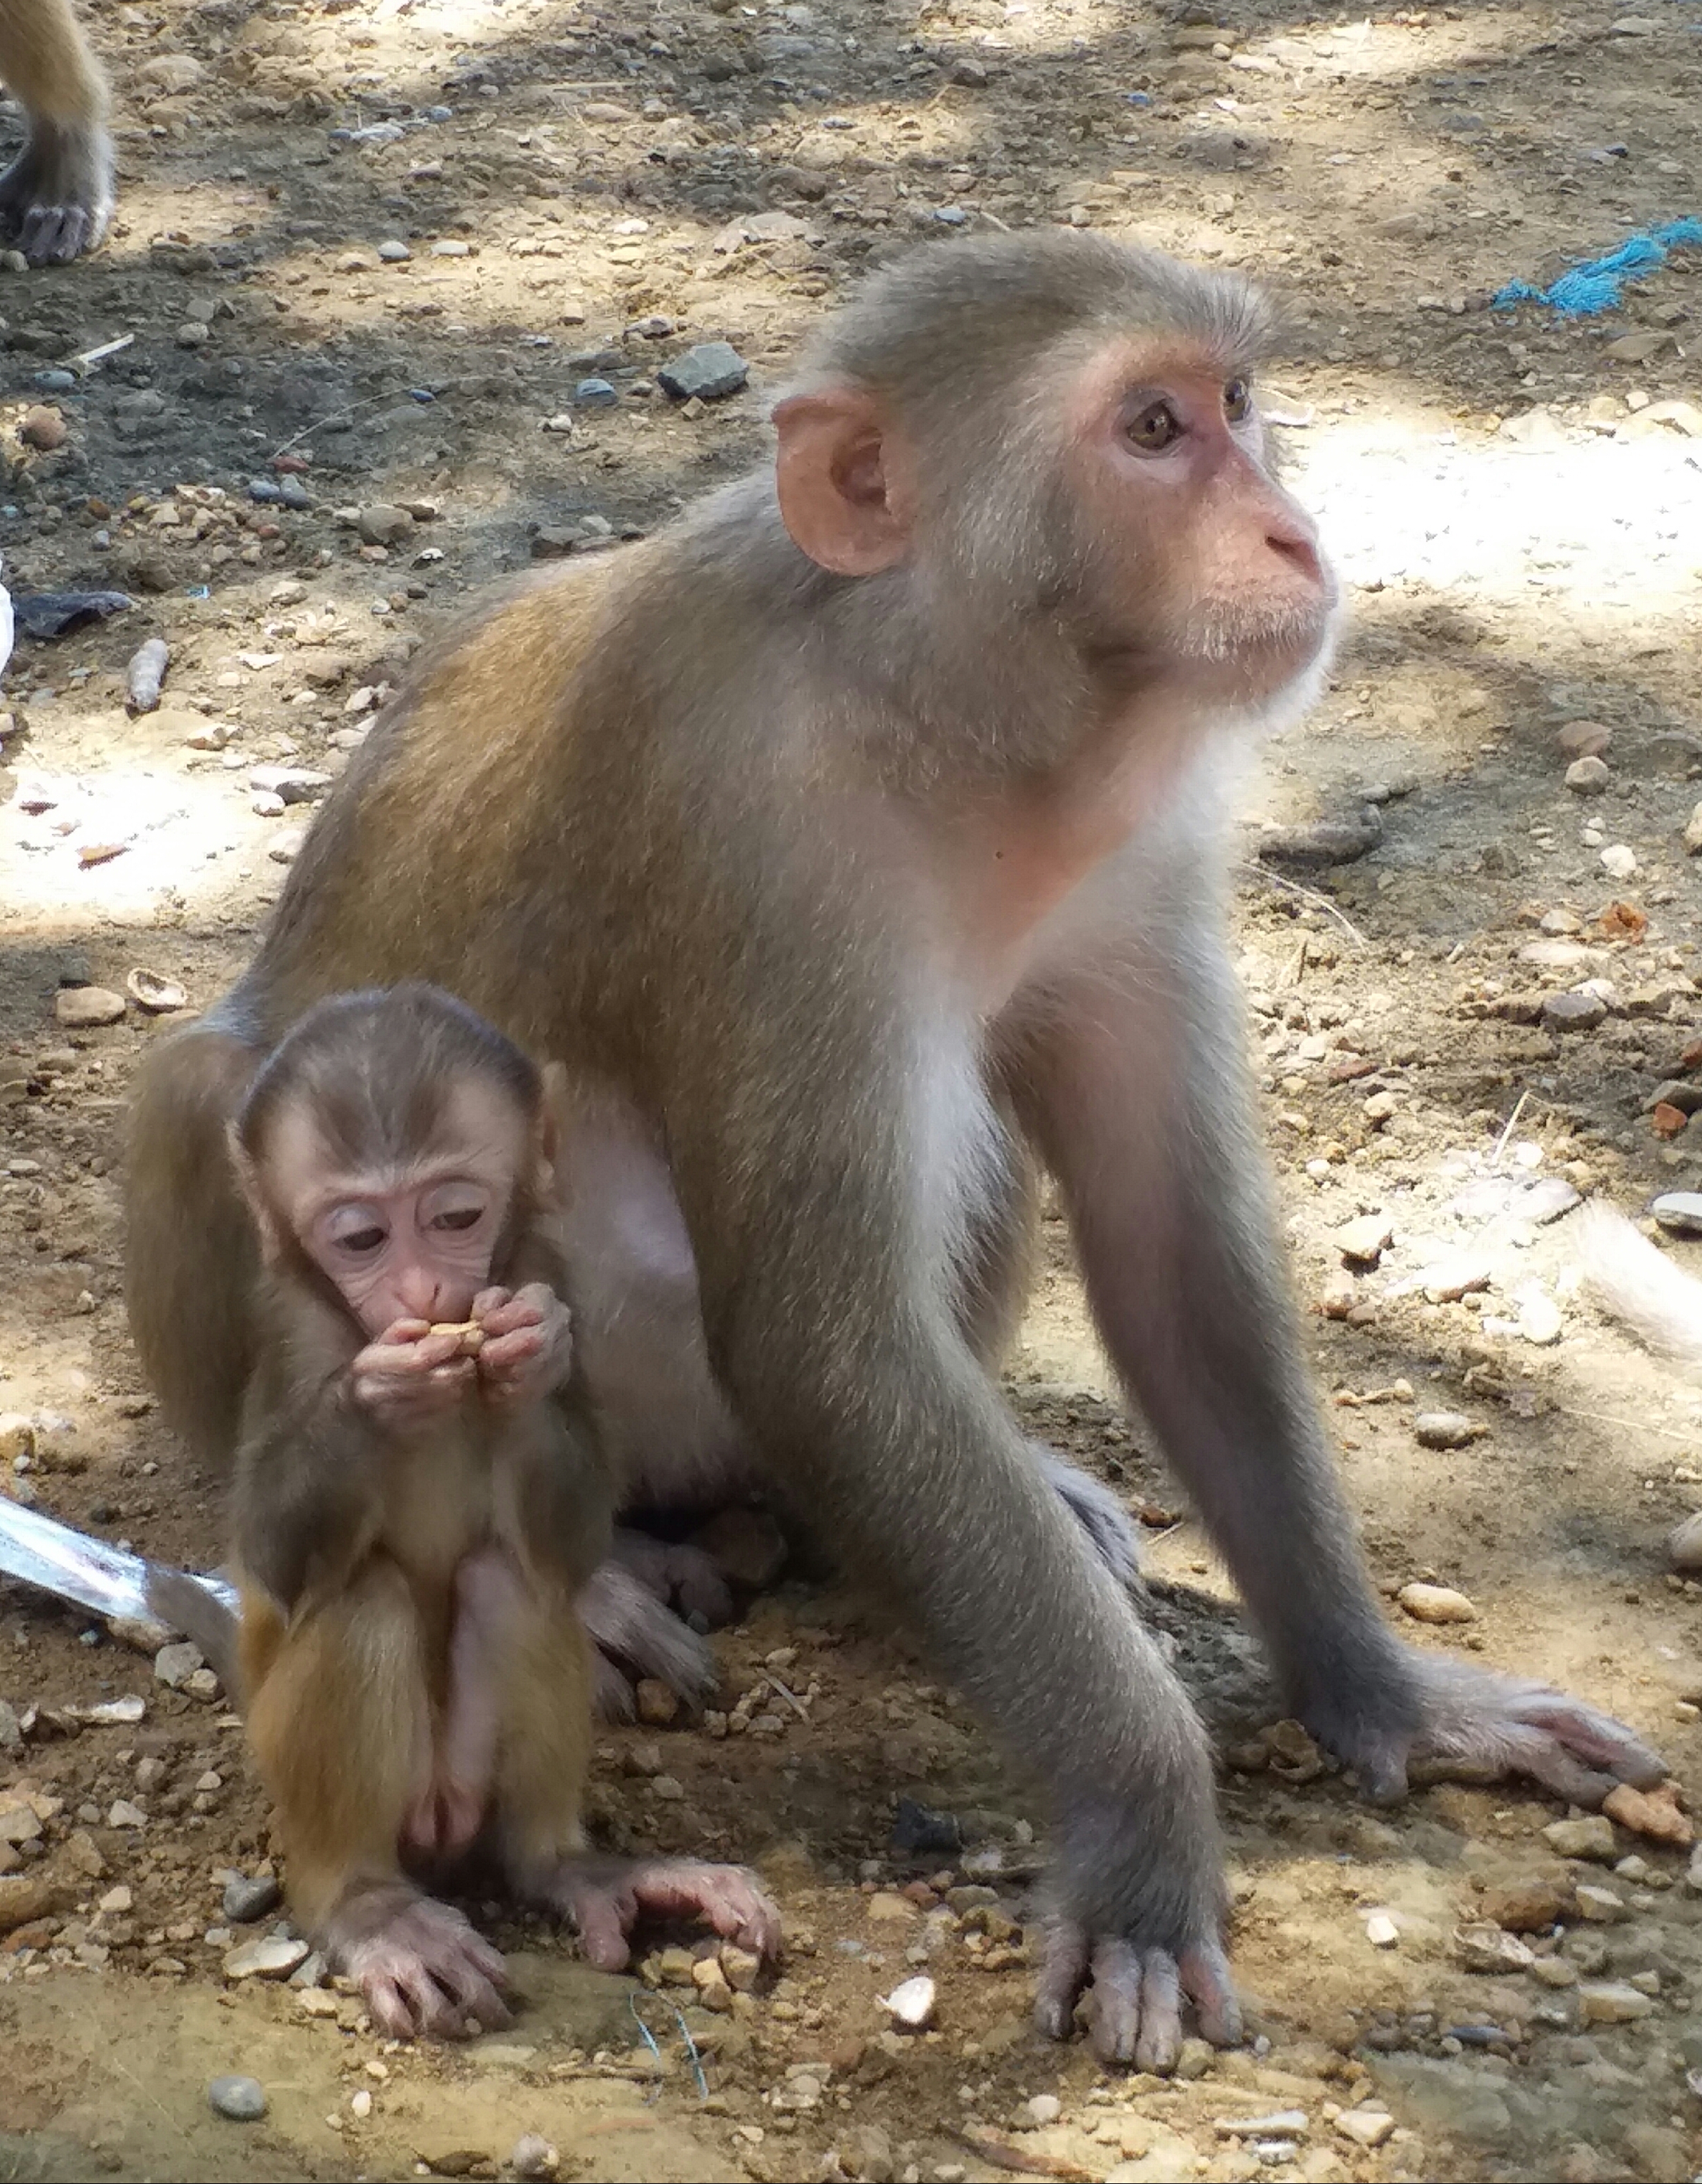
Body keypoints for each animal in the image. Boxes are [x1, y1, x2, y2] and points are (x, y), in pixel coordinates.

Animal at [220, 983, 779, 2039]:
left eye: (455, 1215)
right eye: (361, 1237)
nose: (422, 1291)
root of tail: (443, 1823)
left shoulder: (552, 1264)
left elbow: (569, 1548)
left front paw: (530, 1361)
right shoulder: (290, 1328)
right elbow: (275, 1555)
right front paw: (376, 1394)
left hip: (475, 1789)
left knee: (508, 1583)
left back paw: (575, 1868)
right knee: (366, 1603)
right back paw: (371, 1910)